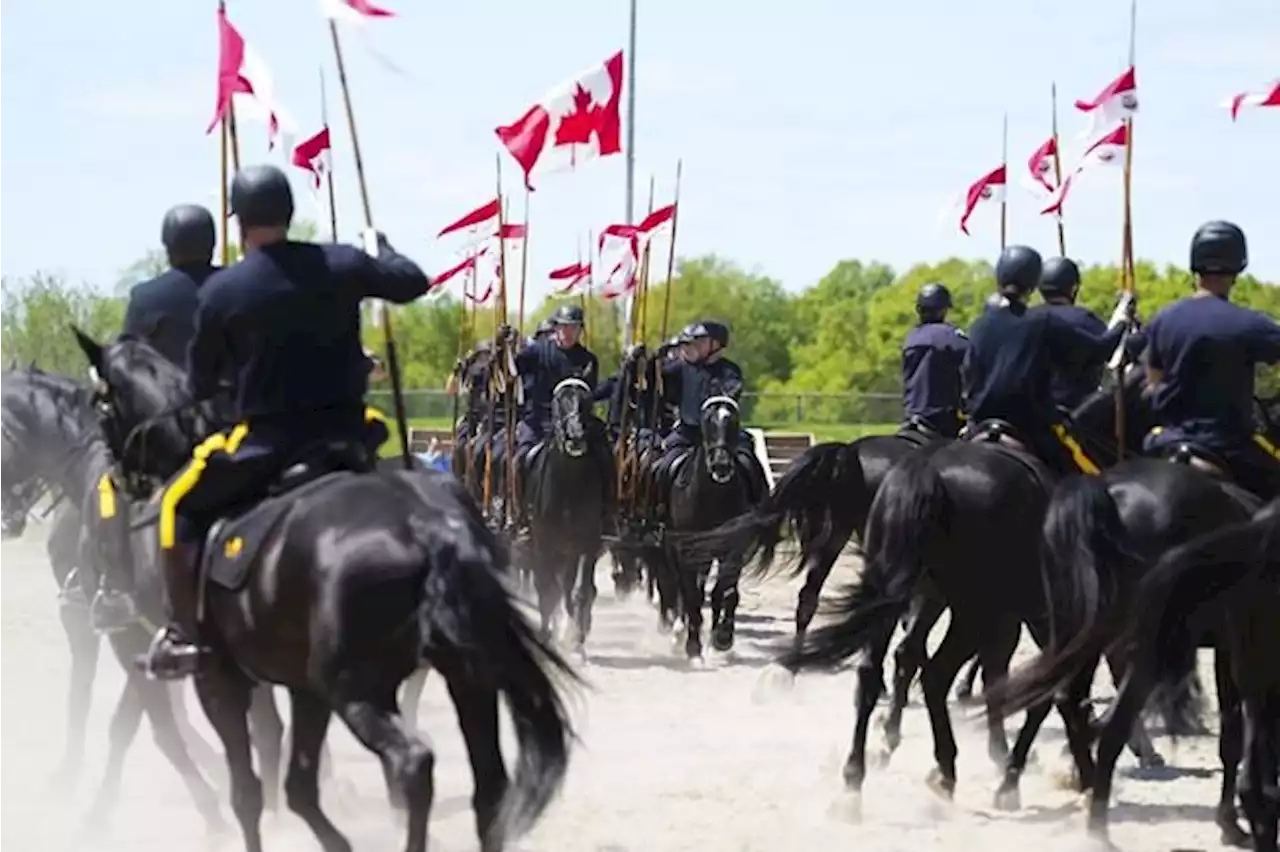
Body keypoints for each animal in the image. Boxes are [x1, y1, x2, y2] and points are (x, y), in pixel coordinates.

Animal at [72, 330, 578, 849]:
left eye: (100, 402)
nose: (119, 480)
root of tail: (433, 531)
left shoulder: (218, 681)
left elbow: (247, 790)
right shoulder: (303, 689)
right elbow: (296, 784)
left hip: (356, 690)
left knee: (413, 764)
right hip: (467, 678)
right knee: (490, 787)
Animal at [524, 376, 614, 652]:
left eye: (587, 401)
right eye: (558, 401)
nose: (575, 437)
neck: (568, 485)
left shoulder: (587, 544)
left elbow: (580, 591)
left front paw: (577, 639)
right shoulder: (543, 543)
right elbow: (546, 588)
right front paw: (546, 634)